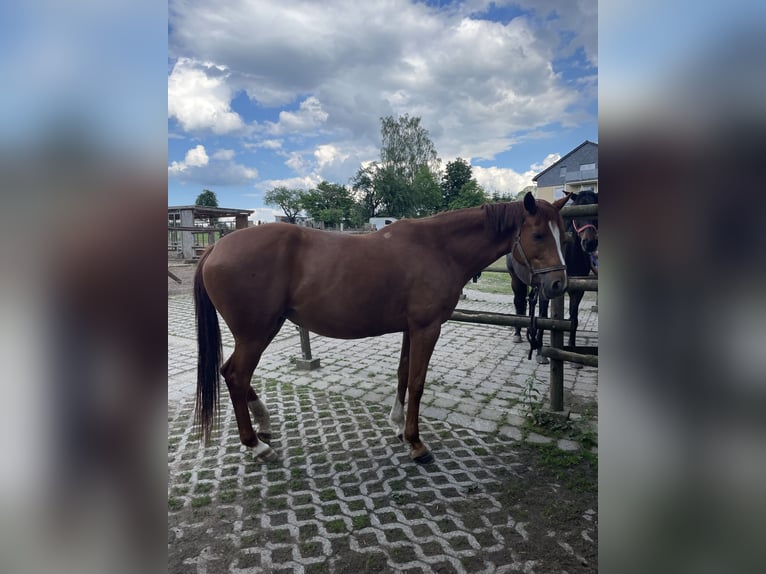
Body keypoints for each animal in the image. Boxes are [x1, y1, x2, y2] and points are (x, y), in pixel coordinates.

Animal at [196, 192, 568, 464]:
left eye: (562, 236)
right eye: (537, 235)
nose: (558, 285)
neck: (438, 248)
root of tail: (215, 246)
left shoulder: (410, 328)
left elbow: (403, 374)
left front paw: (398, 425)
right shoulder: (427, 328)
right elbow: (417, 382)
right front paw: (417, 443)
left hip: (260, 330)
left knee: (231, 372)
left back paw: (263, 423)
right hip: (256, 333)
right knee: (235, 375)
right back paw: (256, 444)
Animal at [510, 191, 600, 366]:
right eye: (578, 210)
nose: (590, 243)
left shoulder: (577, 291)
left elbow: (573, 319)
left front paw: (573, 354)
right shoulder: (547, 289)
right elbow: (544, 316)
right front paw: (540, 352)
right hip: (516, 280)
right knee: (519, 302)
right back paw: (517, 333)